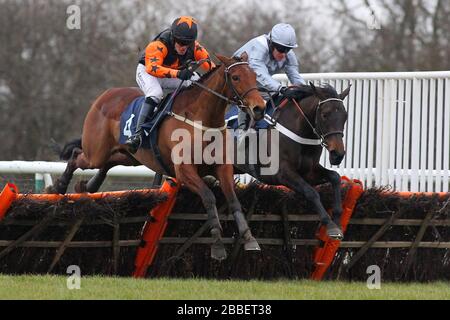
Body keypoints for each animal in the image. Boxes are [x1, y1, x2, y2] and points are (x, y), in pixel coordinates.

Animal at [49, 53, 268, 262]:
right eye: (236, 77)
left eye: (254, 75)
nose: (259, 108)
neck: (201, 119)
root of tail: (106, 95)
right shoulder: (185, 171)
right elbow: (209, 197)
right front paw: (218, 246)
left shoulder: (223, 167)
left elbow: (233, 201)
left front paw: (250, 239)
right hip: (96, 152)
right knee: (77, 156)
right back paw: (59, 187)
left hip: (131, 156)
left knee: (108, 162)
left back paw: (87, 186)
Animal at [232, 82, 352, 240]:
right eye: (325, 114)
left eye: (345, 116)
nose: (338, 154)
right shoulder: (282, 174)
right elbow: (311, 192)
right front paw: (330, 225)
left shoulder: (309, 172)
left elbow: (335, 177)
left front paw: (337, 220)